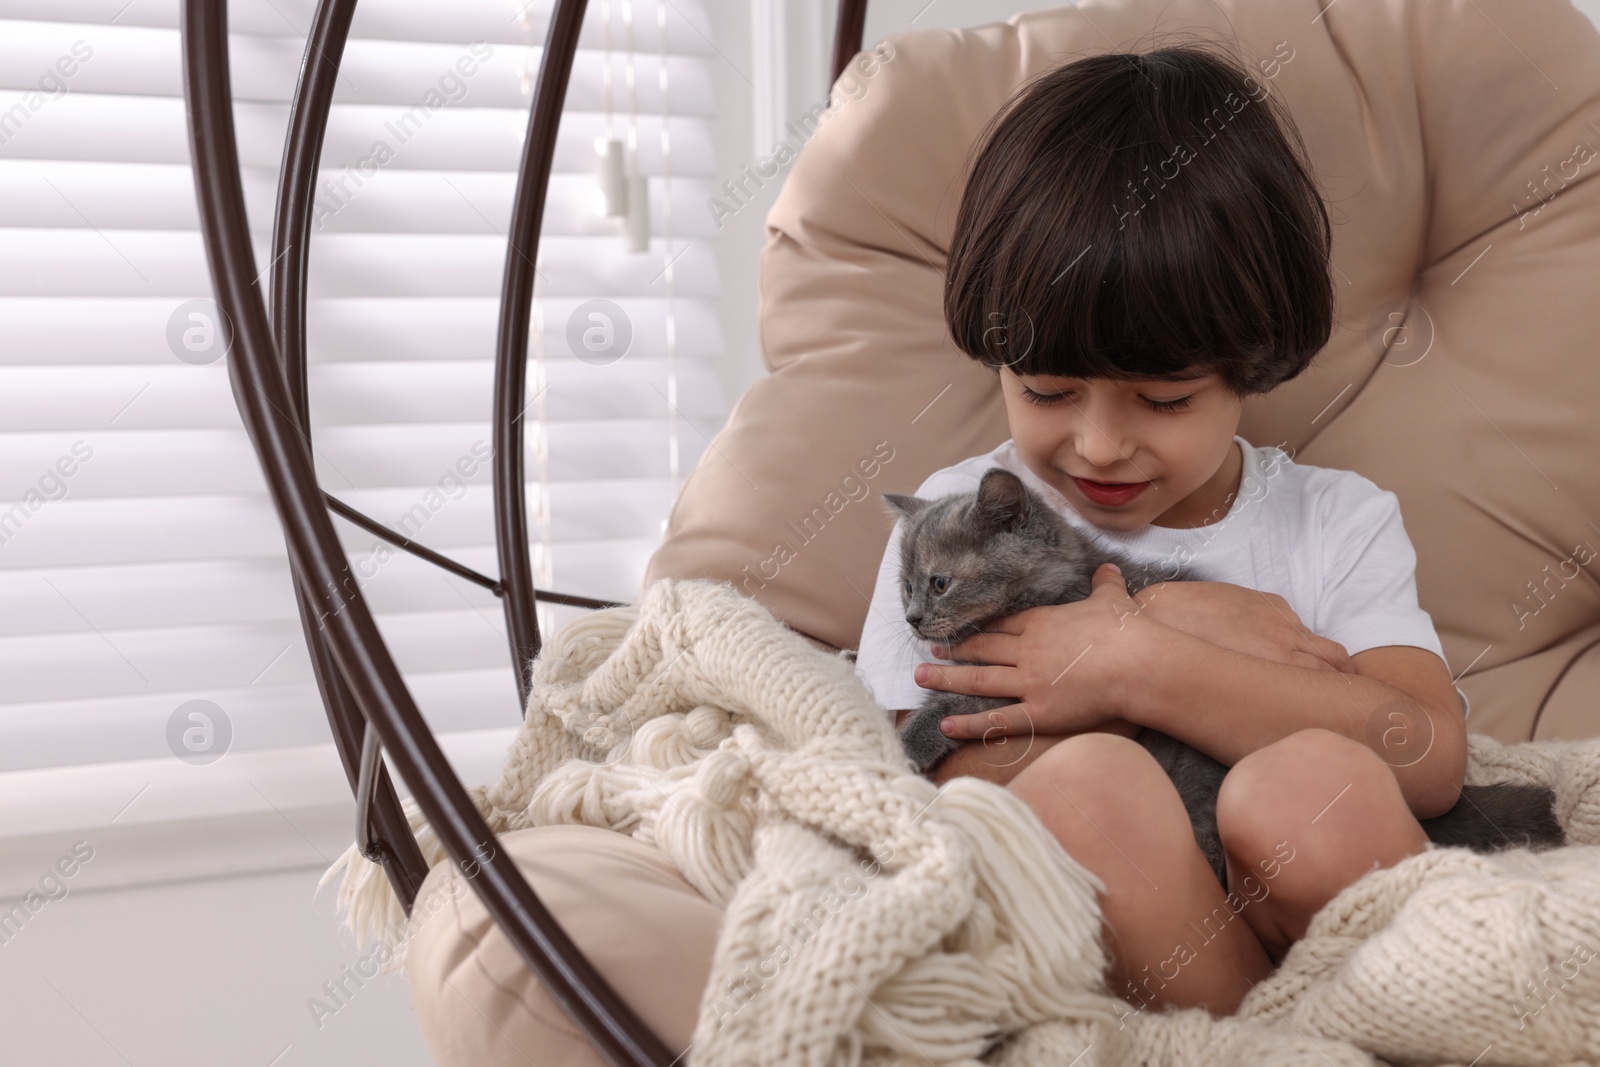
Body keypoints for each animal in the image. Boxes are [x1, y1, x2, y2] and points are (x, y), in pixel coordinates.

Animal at [876, 467, 1561, 895]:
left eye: (939, 582)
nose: (910, 617)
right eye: (903, 585)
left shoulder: (1040, 664)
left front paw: (906, 745)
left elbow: (956, 697)